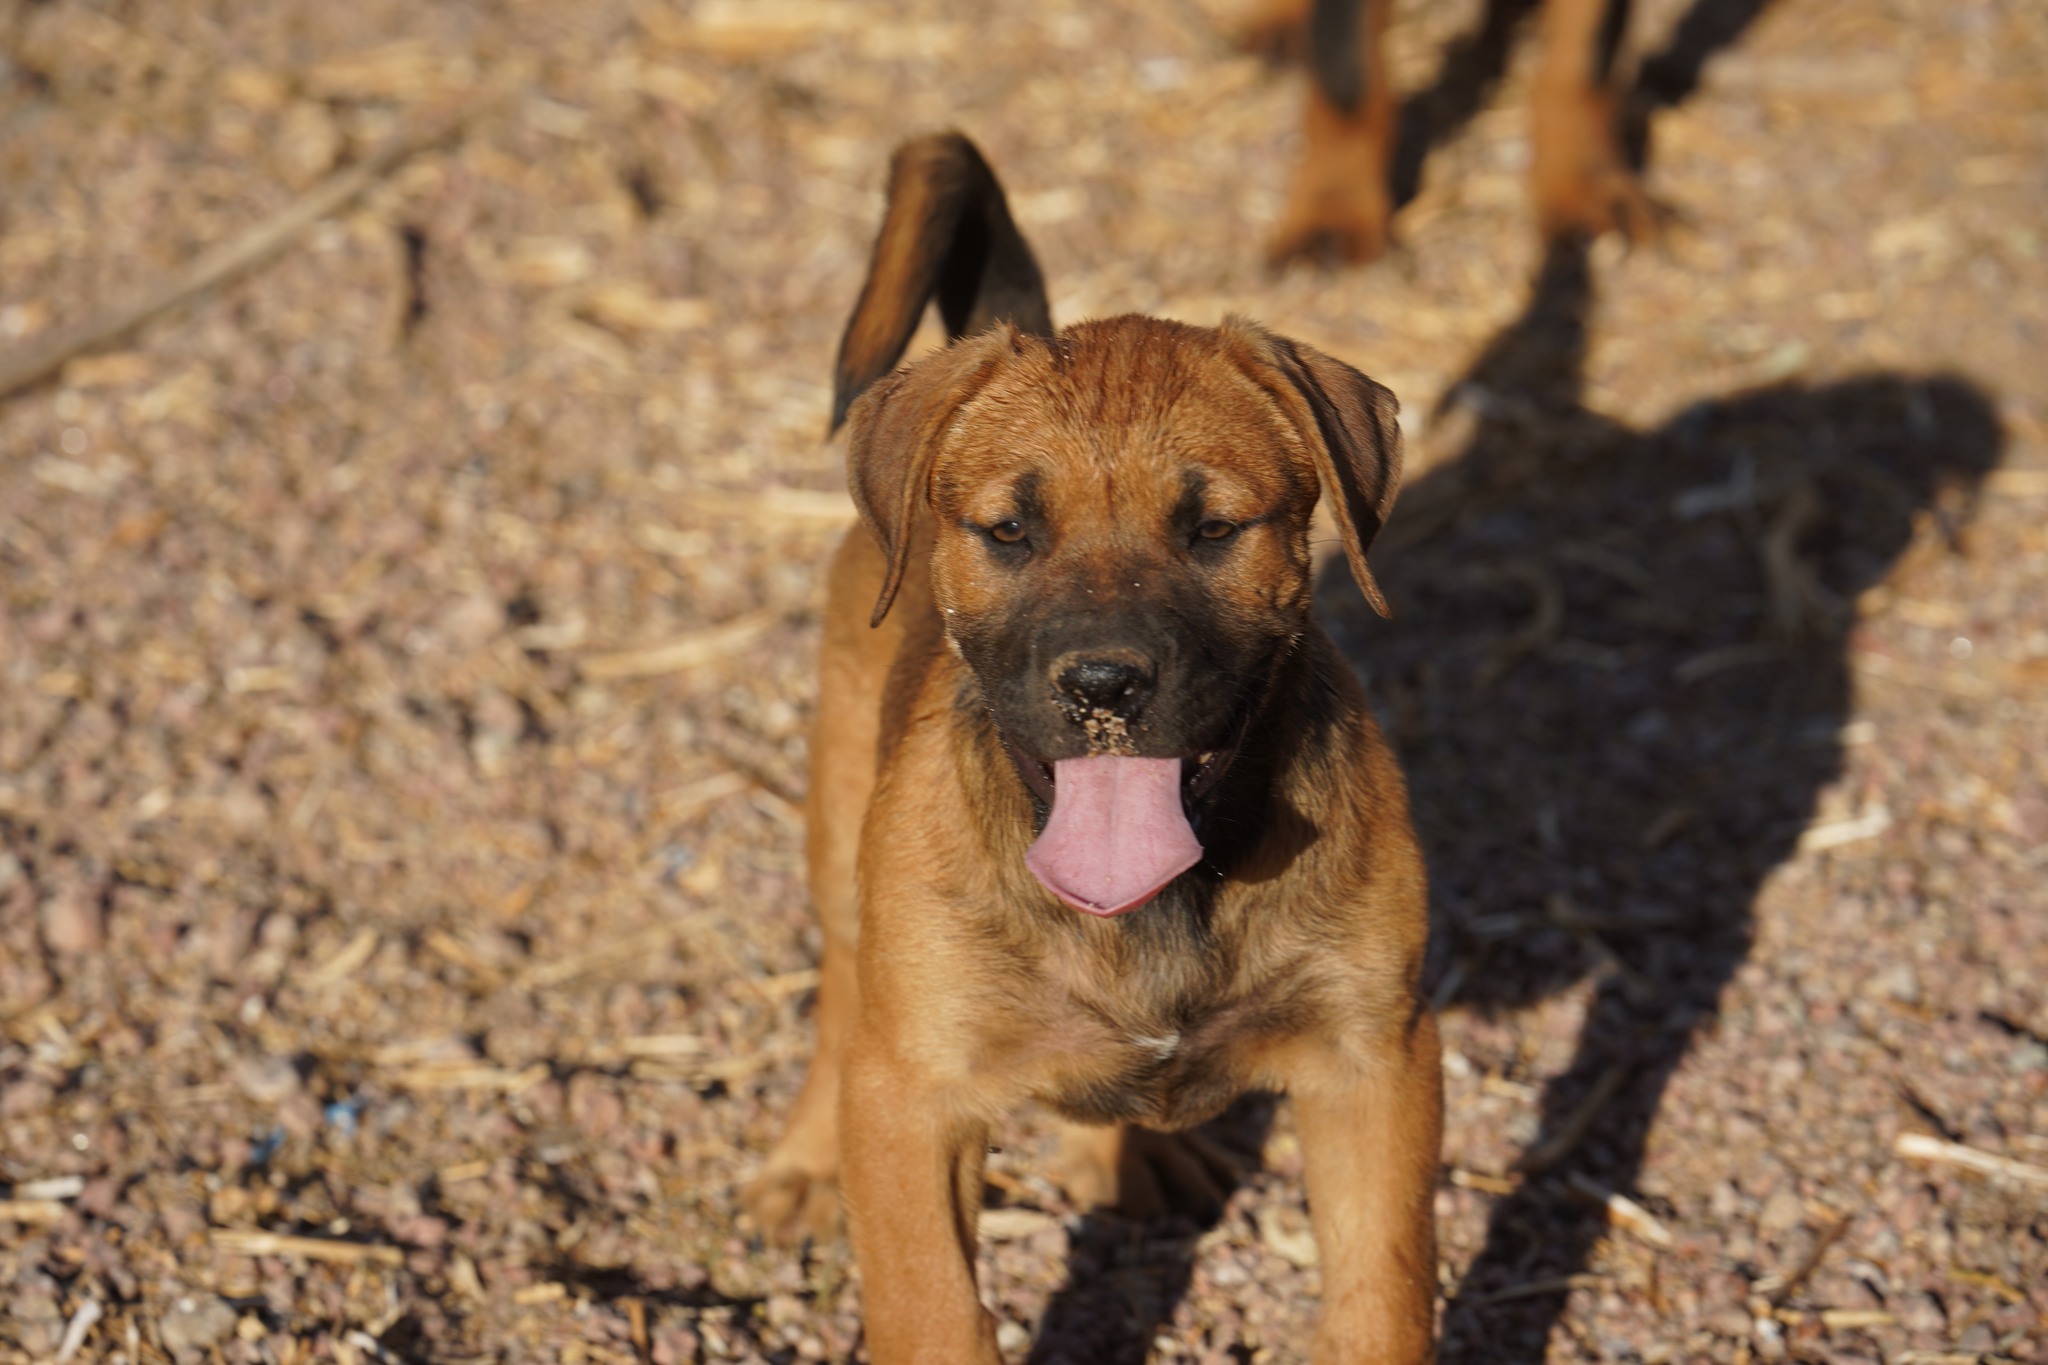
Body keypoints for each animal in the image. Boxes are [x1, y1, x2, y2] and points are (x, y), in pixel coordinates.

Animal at [741, 130, 1441, 1365]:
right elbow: (933, 1312)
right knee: (837, 999)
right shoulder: (917, 1101)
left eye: (1213, 529)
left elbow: (1381, 1301)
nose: (1104, 686)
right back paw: (807, 1164)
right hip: (839, 849)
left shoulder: (1378, 1064)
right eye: (1009, 531)